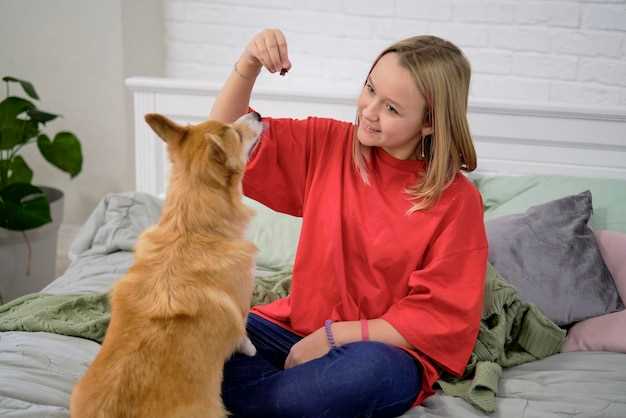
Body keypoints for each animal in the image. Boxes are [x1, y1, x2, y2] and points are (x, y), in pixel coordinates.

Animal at [70, 111, 260, 418]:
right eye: (237, 133)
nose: (256, 113)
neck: (190, 228)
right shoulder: (241, 305)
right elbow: (243, 332)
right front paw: (250, 348)